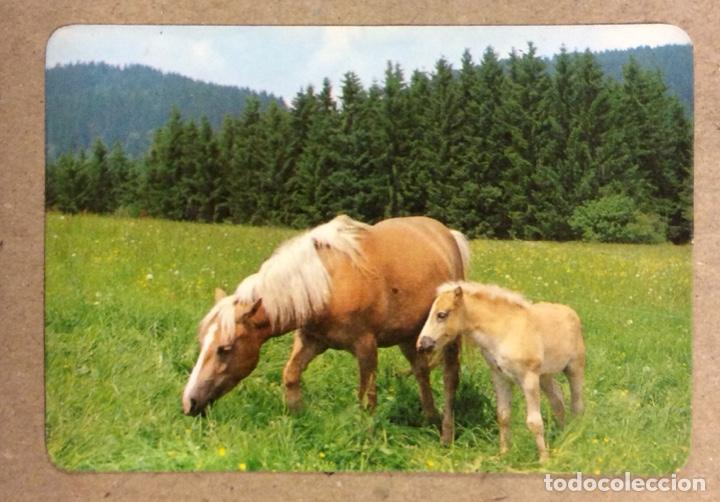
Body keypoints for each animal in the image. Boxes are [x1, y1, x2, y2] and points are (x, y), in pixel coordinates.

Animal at [182, 215, 470, 444]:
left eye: (225, 348)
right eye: (202, 343)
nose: (189, 403)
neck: (328, 283)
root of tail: (447, 234)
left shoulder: (366, 346)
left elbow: (367, 399)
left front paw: (366, 436)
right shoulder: (311, 340)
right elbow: (291, 376)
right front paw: (298, 418)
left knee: (450, 379)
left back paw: (446, 433)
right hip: (411, 336)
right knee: (421, 371)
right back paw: (430, 418)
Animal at [416, 281, 585, 461]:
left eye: (441, 315)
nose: (422, 345)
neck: (505, 331)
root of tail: (570, 311)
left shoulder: (529, 378)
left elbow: (534, 421)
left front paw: (544, 459)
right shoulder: (500, 377)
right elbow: (503, 416)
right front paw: (503, 454)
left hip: (574, 368)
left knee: (577, 404)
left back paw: (575, 436)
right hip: (545, 376)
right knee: (557, 401)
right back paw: (562, 434)